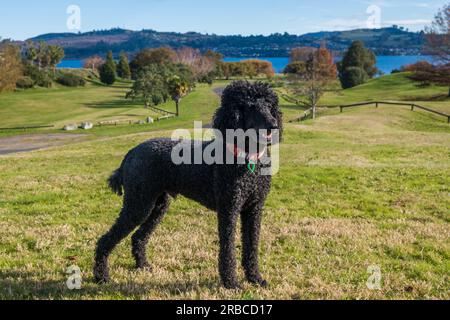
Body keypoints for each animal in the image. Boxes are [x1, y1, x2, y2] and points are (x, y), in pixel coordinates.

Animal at [93, 79, 284, 288]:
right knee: (105, 240)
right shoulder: (229, 208)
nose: (273, 126)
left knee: (138, 236)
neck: (247, 158)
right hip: (138, 204)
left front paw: (255, 278)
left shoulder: (254, 208)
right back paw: (101, 276)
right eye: (249, 106)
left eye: (269, 105)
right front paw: (231, 283)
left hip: (157, 205)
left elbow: (252, 246)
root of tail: (132, 152)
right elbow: (228, 248)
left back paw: (143, 265)